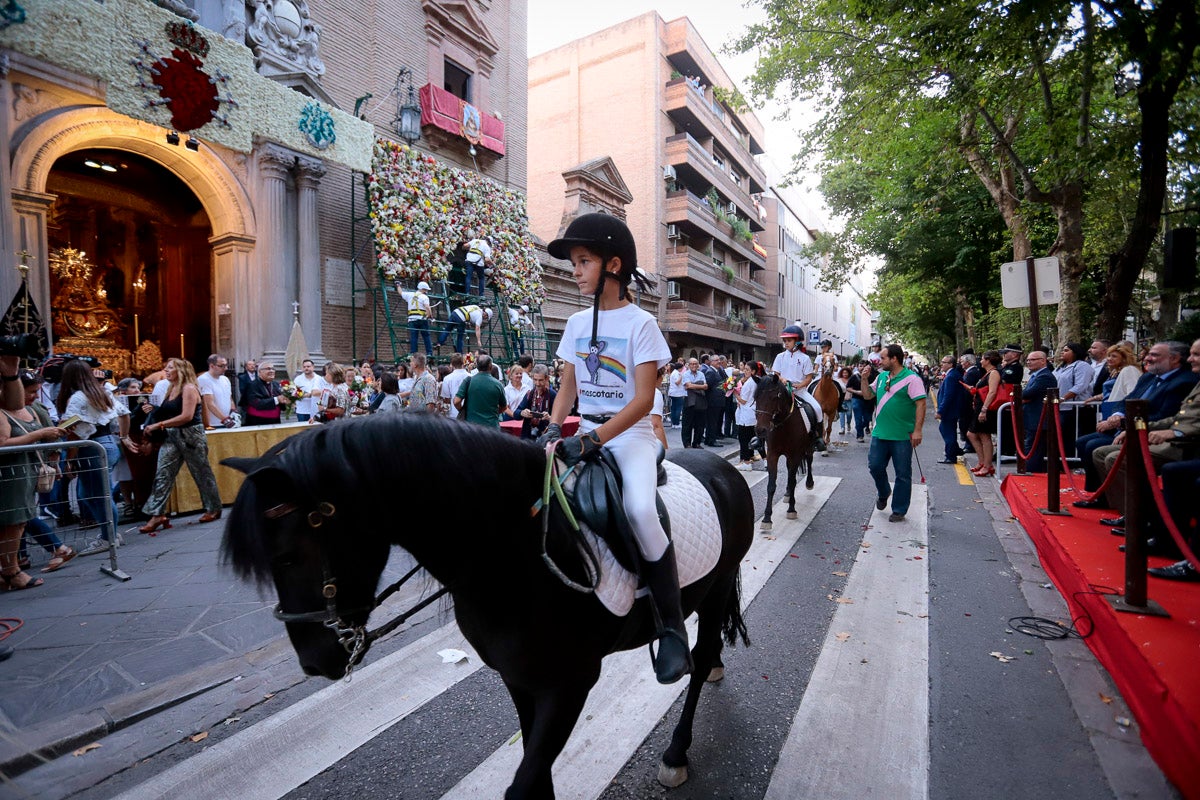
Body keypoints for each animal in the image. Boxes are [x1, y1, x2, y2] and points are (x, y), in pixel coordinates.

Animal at [220, 417, 753, 796]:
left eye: (288, 555)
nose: (315, 661)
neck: (515, 552)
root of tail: (726, 468)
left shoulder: (571, 684)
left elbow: (523, 784)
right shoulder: (519, 679)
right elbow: (535, 776)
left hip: (716, 590)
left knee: (698, 659)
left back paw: (677, 752)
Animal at [753, 376, 820, 532]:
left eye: (773, 397)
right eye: (756, 397)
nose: (760, 430)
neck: (783, 424)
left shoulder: (795, 454)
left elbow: (792, 480)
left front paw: (791, 510)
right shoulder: (772, 455)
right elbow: (771, 485)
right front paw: (767, 518)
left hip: (807, 447)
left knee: (809, 460)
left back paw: (809, 483)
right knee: (790, 471)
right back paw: (788, 494)